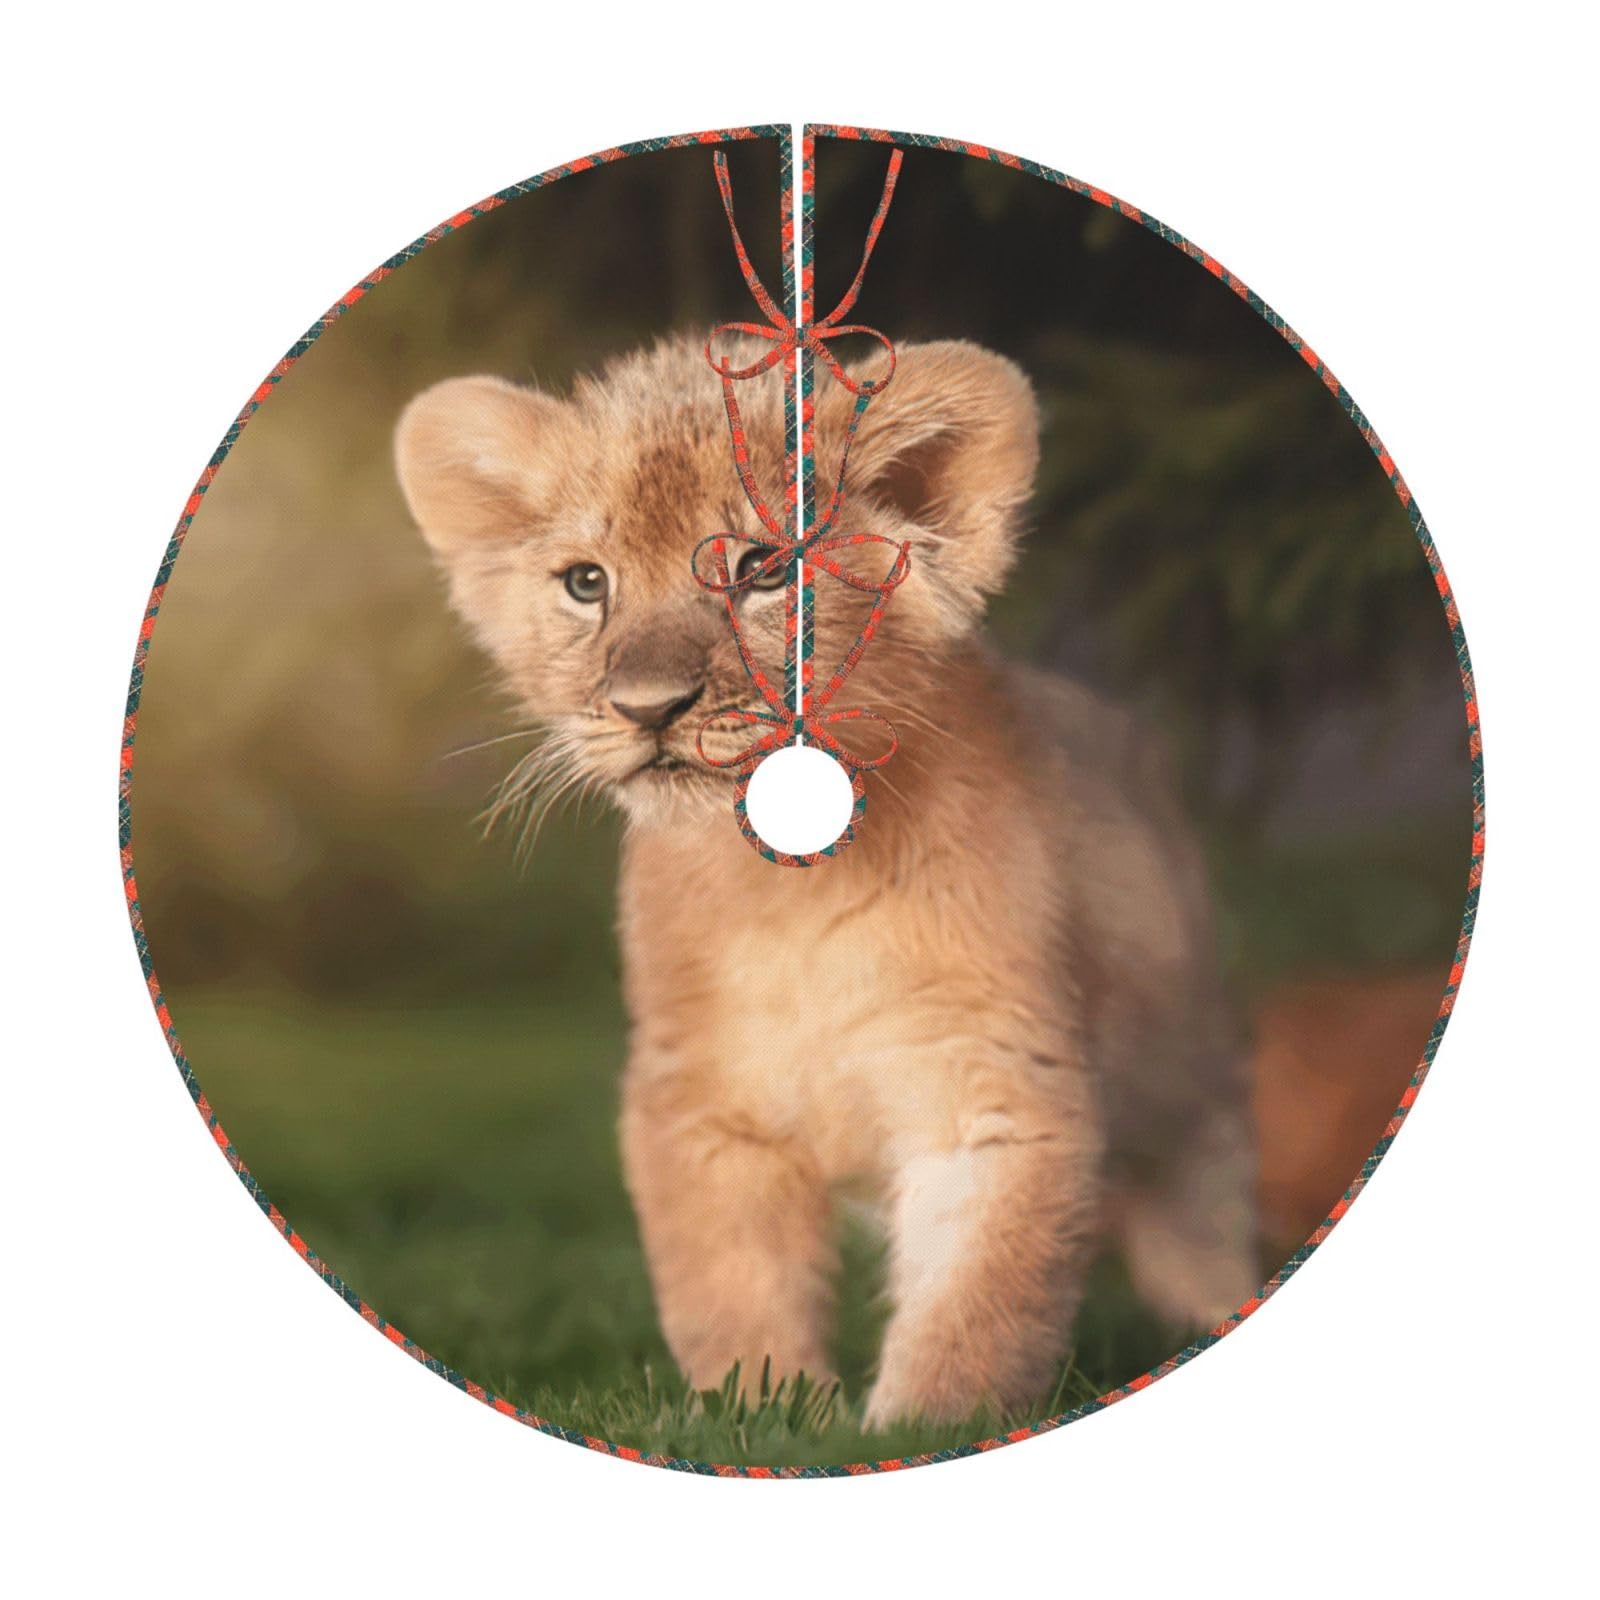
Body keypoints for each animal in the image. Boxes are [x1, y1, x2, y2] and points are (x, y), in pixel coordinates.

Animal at [395, 334, 1256, 1426]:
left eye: (764, 570)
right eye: (585, 582)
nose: (647, 707)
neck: (791, 895)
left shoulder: (992, 1084)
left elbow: (971, 1316)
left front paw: (912, 1430)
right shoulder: (701, 1099)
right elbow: (733, 1293)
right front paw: (768, 1420)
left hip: (1192, 1083)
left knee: (1201, 1215)